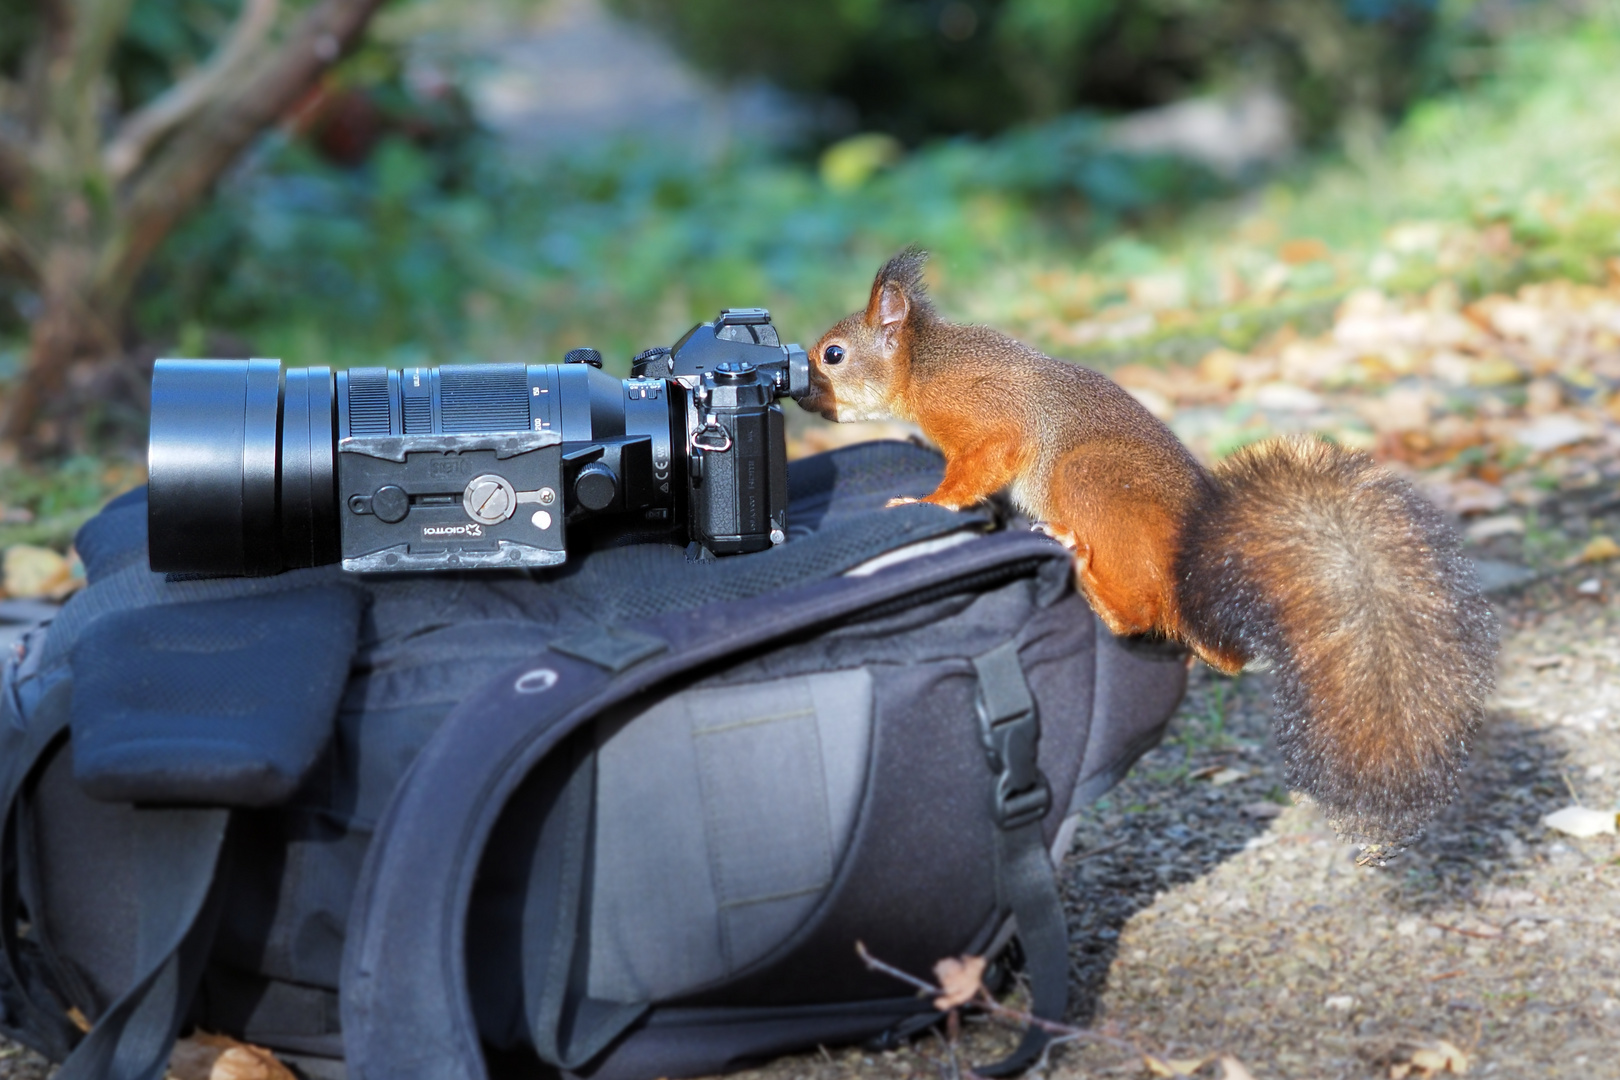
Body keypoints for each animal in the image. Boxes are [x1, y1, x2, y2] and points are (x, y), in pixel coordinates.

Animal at [803, 247, 1496, 854]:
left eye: (833, 355)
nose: (806, 397)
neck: (926, 364)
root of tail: (1193, 582)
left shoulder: (987, 419)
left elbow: (975, 470)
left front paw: (924, 504)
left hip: (1089, 479)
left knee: (1138, 614)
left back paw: (1081, 569)